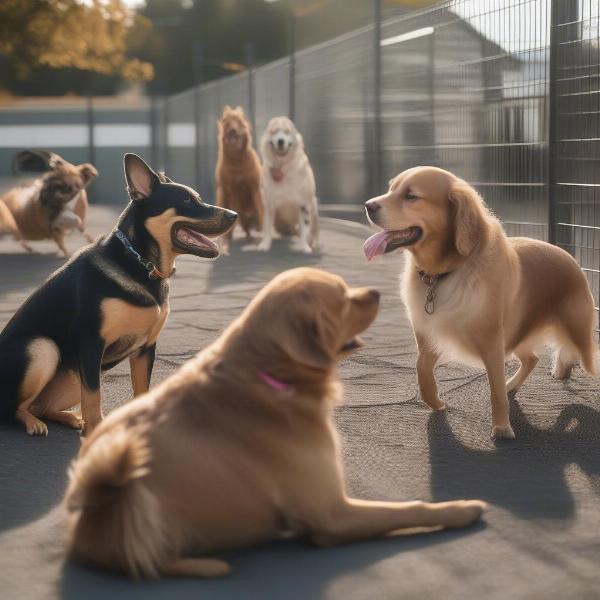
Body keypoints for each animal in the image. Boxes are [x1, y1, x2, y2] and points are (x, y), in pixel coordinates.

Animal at [0, 155, 238, 436]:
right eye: (187, 201)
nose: (234, 215)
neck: (142, 263)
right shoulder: (91, 343)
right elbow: (94, 399)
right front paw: (95, 432)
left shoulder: (145, 349)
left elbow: (142, 390)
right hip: (42, 349)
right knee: (14, 408)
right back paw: (34, 423)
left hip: (74, 375)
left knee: (41, 406)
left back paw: (70, 418)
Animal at [65, 268, 486, 576]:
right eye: (342, 297)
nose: (378, 292)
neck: (269, 375)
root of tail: (92, 513)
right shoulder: (332, 514)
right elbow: (411, 507)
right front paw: (461, 508)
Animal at [216, 105, 262, 251]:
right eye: (227, 122)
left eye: (239, 122)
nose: (232, 131)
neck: (237, 162)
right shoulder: (231, 190)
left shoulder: (254, 187)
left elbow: (260, 209)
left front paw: (260, 227)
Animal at [260, 115, 322, 253]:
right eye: (274, 132)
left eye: (287, 132)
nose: (280, 141)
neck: (282, 167)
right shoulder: (269, 203)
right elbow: (267, 227)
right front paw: (265, 244)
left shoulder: (304, 203)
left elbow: (305, 228)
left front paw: (304, 247)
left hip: (313, 206)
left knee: (314, 228)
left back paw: (314, 243)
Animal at [364, 166, 596, 438]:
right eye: (391, 189)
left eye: (411, 196)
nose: (368, 205)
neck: (444, 273)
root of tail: (570, 257)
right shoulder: (429, 334)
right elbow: (422, 369)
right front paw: (435, 402)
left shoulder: (492, 340)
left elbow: (495, 390)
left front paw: (502, 428)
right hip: (517, 332)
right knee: (531, 359)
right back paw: (511, 385)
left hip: (573, 336)